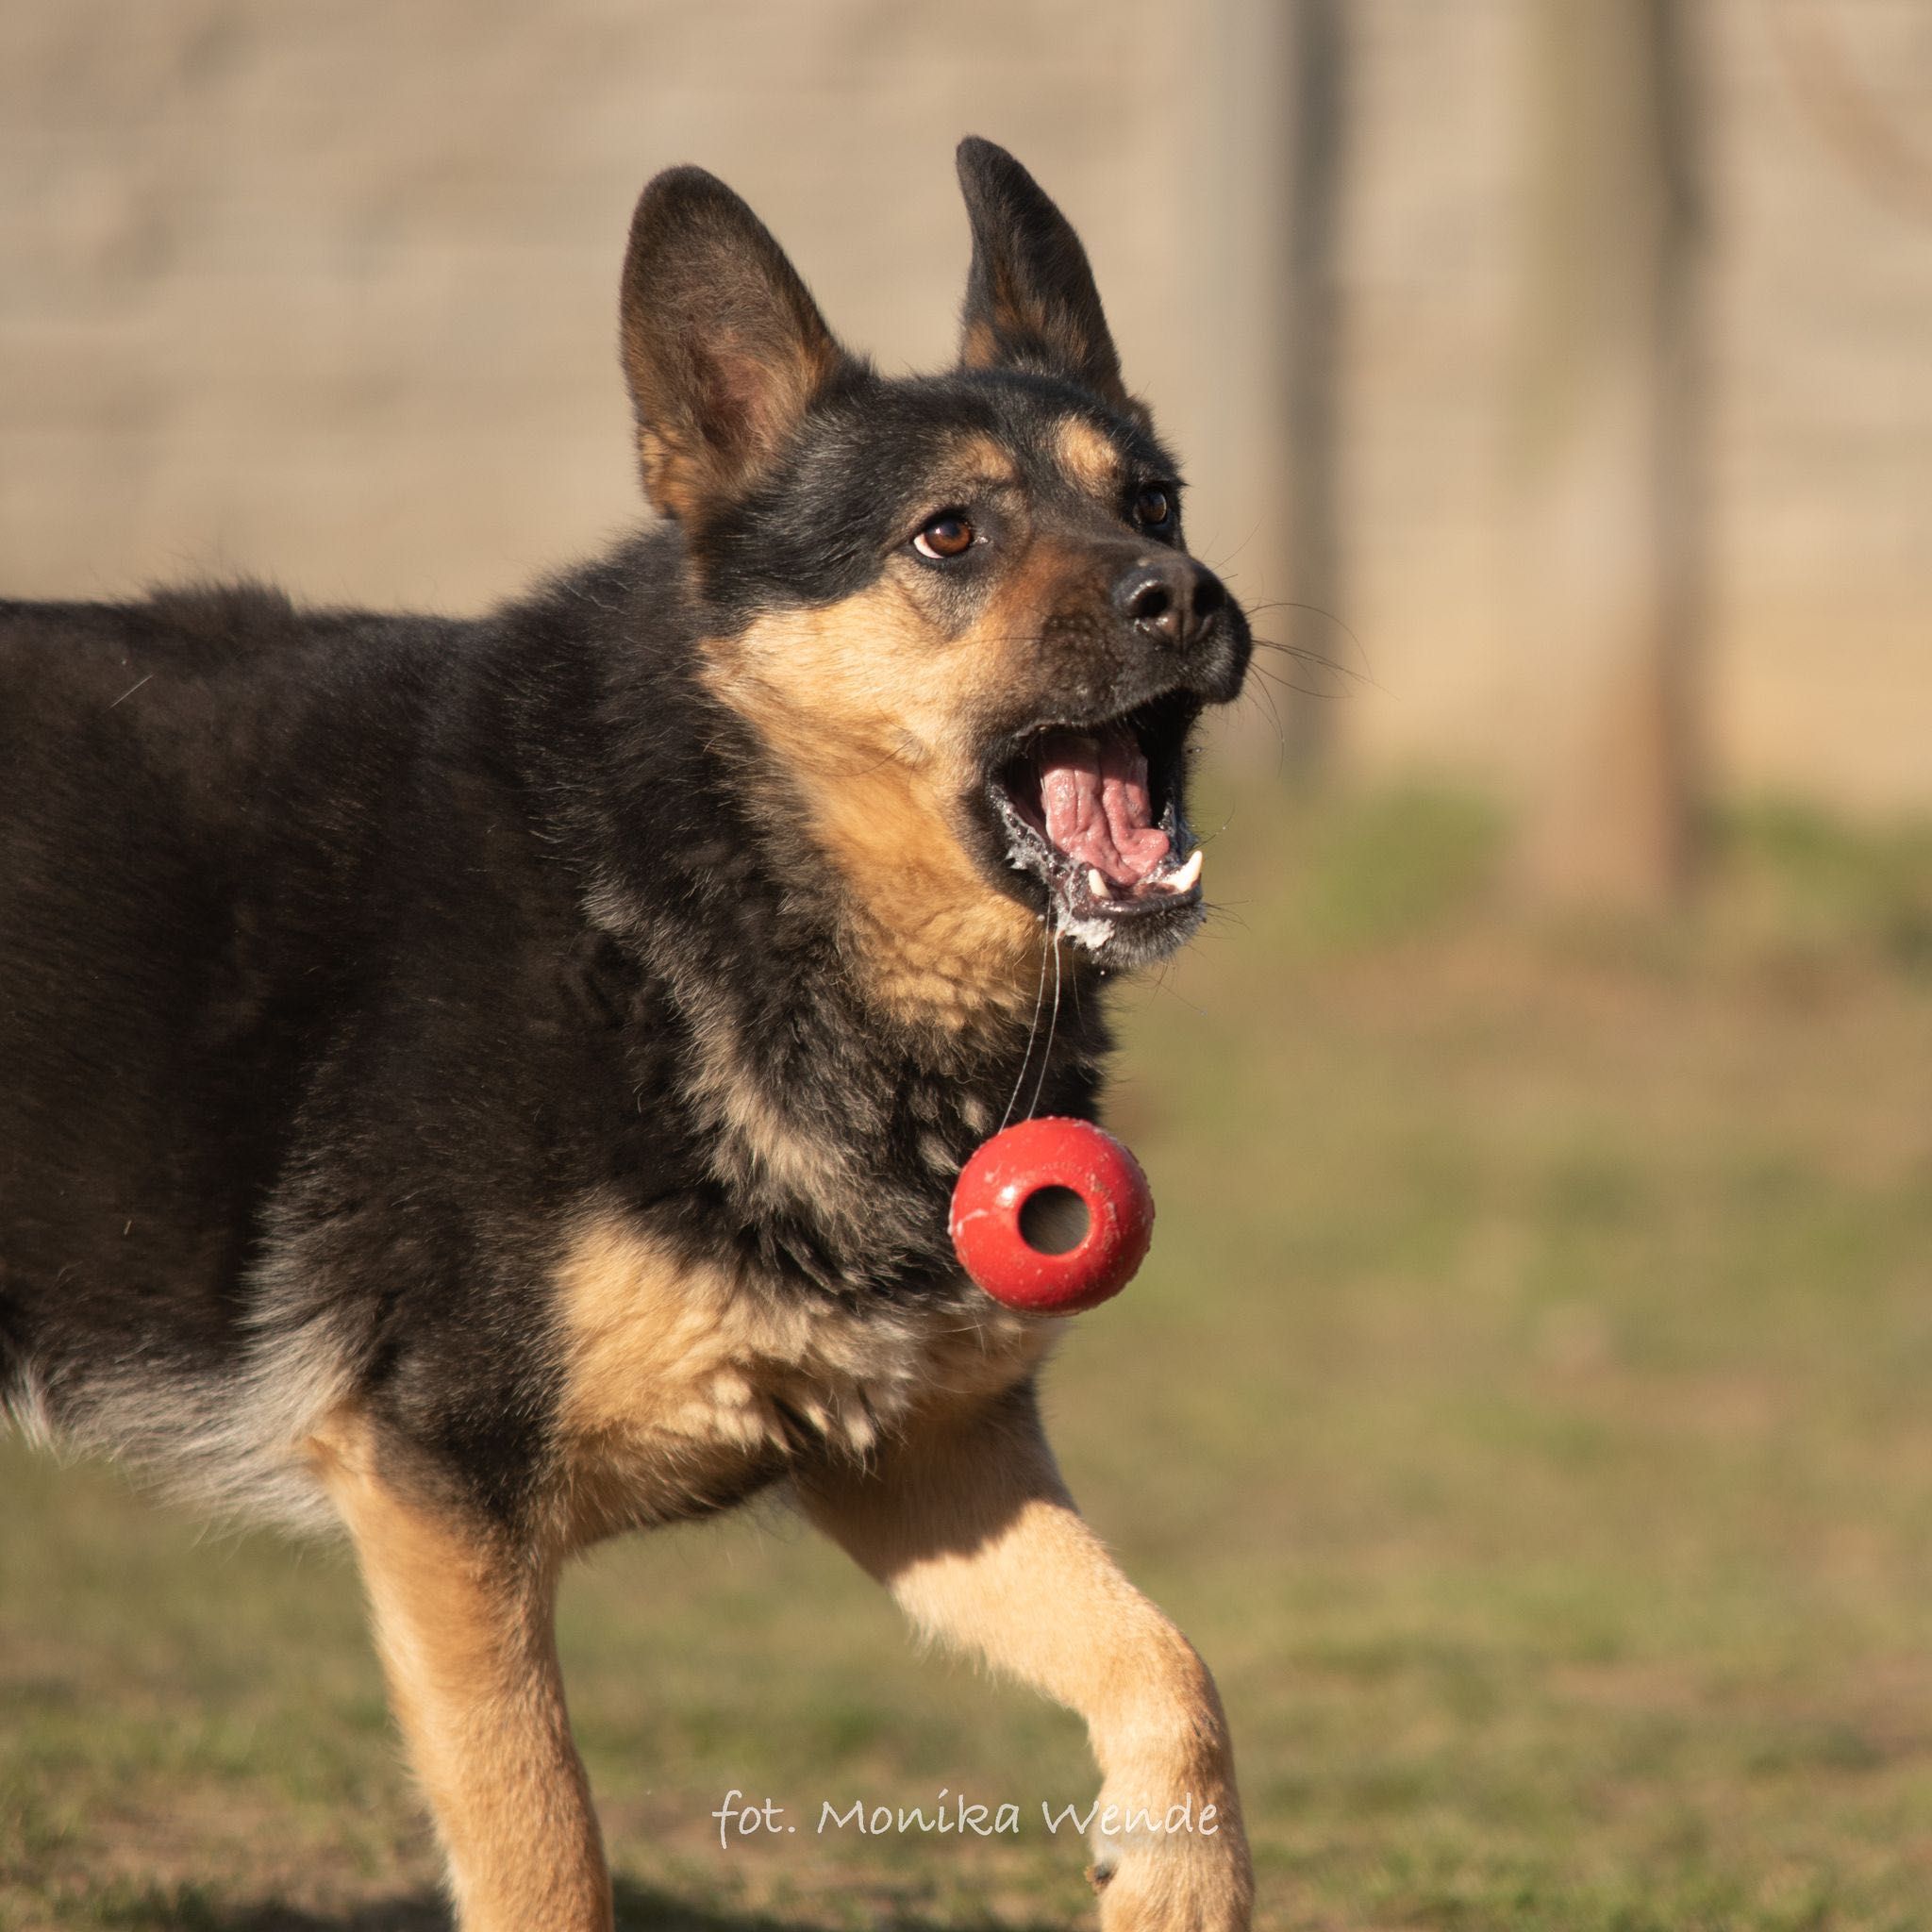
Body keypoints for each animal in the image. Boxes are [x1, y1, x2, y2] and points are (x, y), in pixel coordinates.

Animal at [0, 142, 1252, 1924]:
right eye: (948, 533)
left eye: (1153, 503)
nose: (1191, 597)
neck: (712, 879)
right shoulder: (445, 1502)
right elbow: (545, 1841)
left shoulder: (918, 1458)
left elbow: (1170, 1670)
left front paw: (1173, 1885)